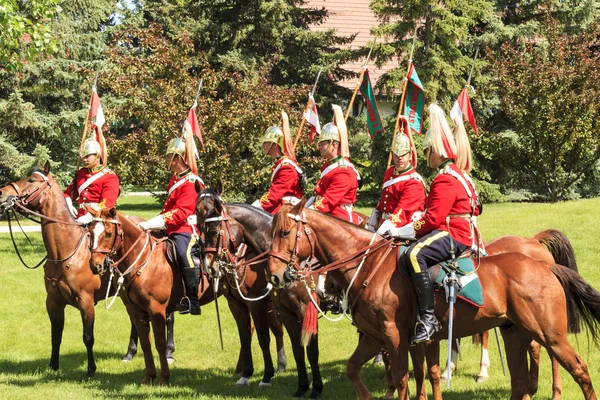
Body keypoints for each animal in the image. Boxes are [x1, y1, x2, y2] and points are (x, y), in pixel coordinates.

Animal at [89, 205, 286, 386]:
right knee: (250, 331)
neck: (144, 259)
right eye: (90, 232)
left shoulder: (156, 308)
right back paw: (242, 370)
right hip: (239, 301)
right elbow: (145, 342)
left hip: (256, 302)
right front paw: (148, 377)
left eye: (108, 233)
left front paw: (164, 378)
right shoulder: (135, 310)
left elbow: (160, 342)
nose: (95, 265)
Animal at [268, 202, 600, 400]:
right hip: (515, 334)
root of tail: (544, 264)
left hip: (549, 334)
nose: (274, 275)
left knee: (579, 370)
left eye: (284, 232)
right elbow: (354, 370)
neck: (368, 264)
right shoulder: (375, 338)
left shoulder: (395, 337)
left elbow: (403, 379)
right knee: (520, 382)